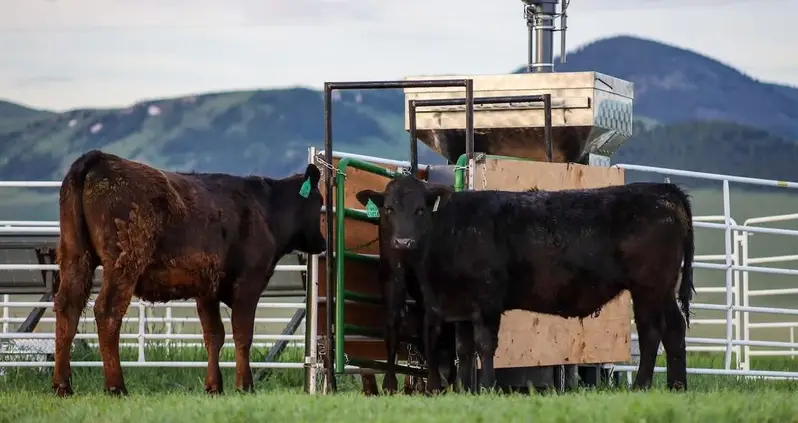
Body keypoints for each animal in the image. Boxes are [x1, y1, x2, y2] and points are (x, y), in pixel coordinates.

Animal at [52, 150, 324, 398]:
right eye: (320, 204)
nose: (322, 243)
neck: (267, 210)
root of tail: (100, 157)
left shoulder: (206, 290)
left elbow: (214, 335)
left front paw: (214, 386)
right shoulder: (249, 282)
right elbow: (242, 335)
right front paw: (244, 385)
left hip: (74, 256)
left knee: (68, 308)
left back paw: (62, 385)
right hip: (124, 261)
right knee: (107, 311)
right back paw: (115, 386)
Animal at [360, 176, 696, 394]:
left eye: (420, 210)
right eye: (389, 209)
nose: (403, 242)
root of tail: (664, 190)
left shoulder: (487, 301)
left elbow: (485, 346)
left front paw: (488, 387)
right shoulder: (461, 309)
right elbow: (464, 350)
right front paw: (466, 391)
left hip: (648, 288)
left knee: (652, 331)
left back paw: (641, 385)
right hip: (664, 288)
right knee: (675, 328)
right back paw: (677, 385)